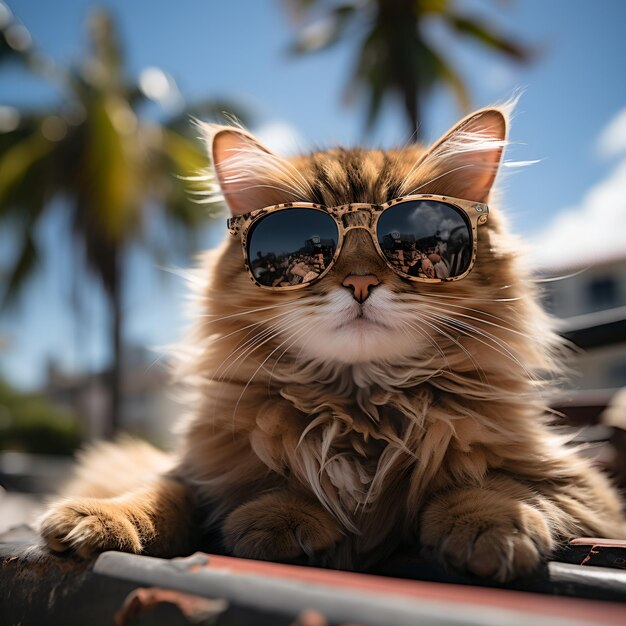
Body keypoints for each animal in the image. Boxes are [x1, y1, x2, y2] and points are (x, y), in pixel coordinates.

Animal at [40, 103, 624, 580]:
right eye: (310, 245)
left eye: (411, 239)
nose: (361, 283)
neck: (361, 407)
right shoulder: (200, 469)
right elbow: (164, 494)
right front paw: (101, 518)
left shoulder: (583, 490)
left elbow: (495, 483)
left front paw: (493, 525)